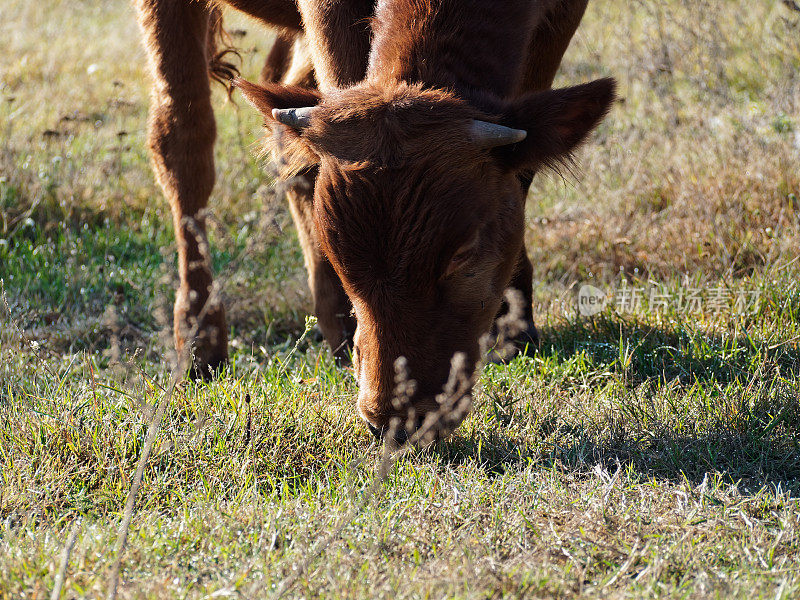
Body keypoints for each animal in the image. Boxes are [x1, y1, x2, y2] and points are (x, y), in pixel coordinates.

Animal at [136, 0, 612, 440]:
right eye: (337, 247)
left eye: (463, 253)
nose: (397, 419)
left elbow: (524, 167)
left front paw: (515, 324)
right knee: (183, 137)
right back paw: (200, 343)